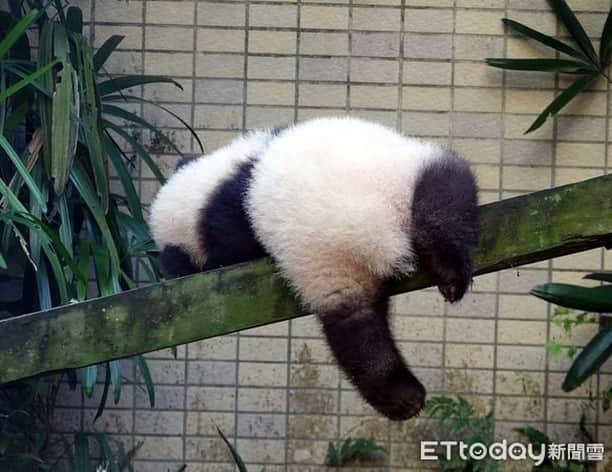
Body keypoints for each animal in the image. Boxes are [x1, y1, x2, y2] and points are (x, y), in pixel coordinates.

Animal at [149, 117, 478, 420]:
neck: (201, 199)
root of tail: (372, 226)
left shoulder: (227, 221)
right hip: (343, 260)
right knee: (359, 330)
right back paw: (404, 397)